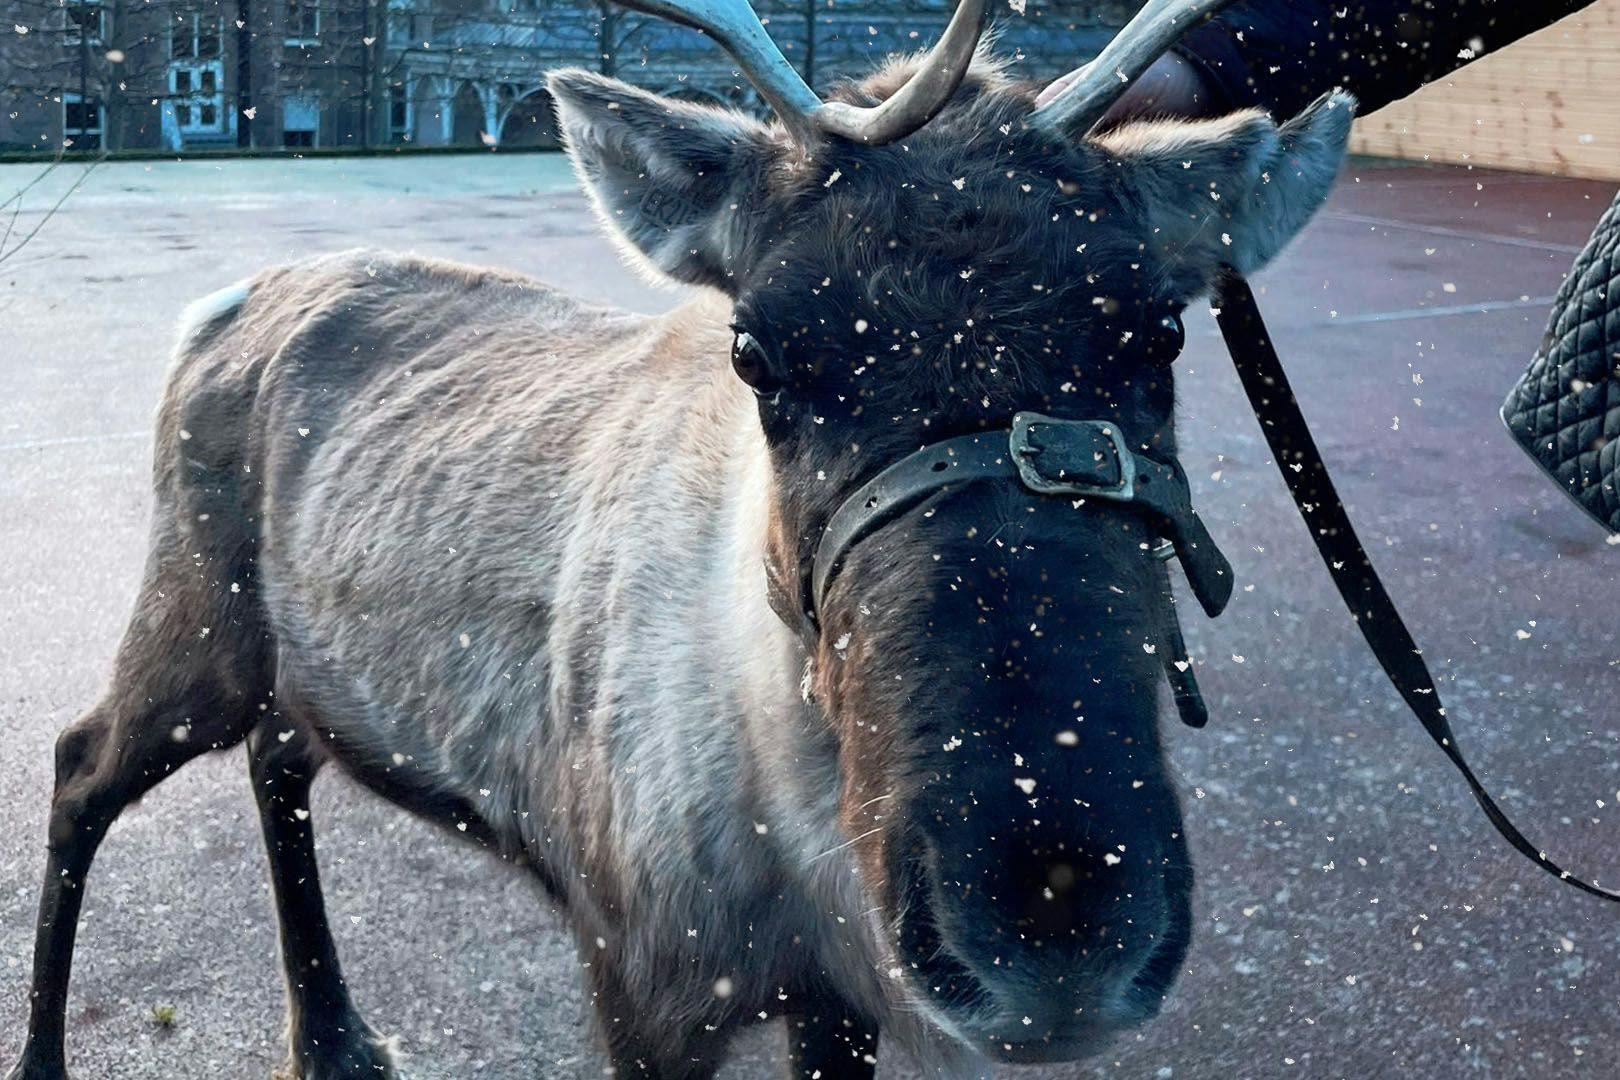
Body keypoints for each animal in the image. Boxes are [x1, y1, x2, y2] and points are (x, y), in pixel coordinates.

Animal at [5, 0, 1355, 1076]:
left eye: (1165, 331)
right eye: (757, 350)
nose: (1053, 927)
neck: (801, 850)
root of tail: (221, 305)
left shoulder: (838, 997)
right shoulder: (645, 973)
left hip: (301, 669)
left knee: (278, 762)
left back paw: (335, 1039)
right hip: (192, 614)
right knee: (80, 763)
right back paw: (46, 1054)